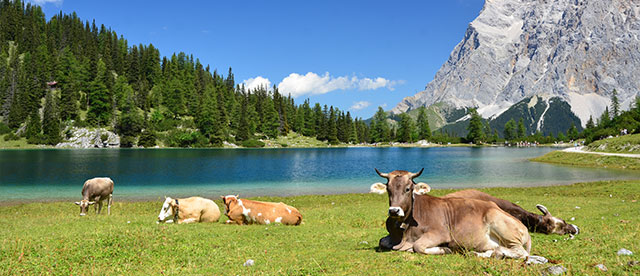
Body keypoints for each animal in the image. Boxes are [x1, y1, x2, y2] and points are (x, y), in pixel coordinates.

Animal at [372, 168, 532, 258]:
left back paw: (499, 252)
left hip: (498, 221)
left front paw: (445, 249)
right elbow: (382, 242)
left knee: (521, 253)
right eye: (388, 190)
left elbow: (418, 246)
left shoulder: (440, 233)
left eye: (407, 189)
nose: (394, 210)